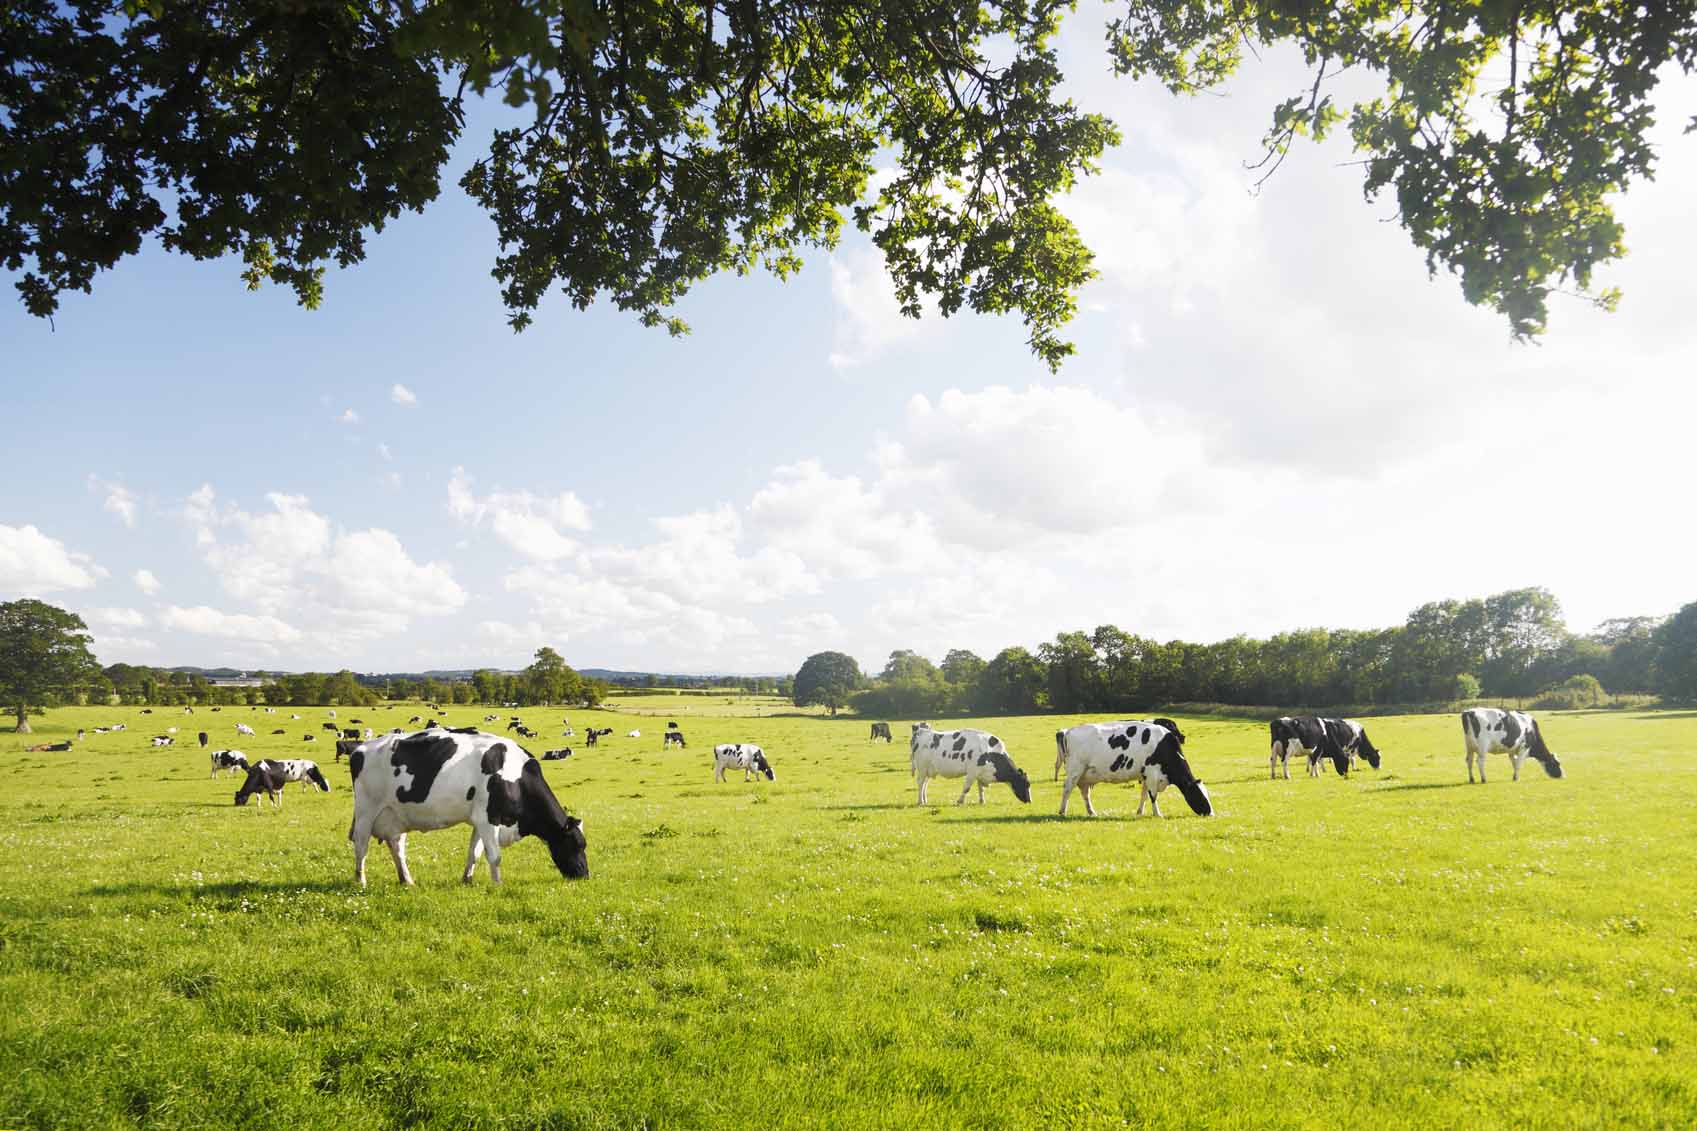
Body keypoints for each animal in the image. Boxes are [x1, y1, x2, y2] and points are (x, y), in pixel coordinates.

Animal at [344, 726, 590, 883]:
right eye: (575, 844)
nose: (584, 875)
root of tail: (360, 749)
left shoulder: (480, 819)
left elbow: (475, 852)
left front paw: (467, 880)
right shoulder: (489, 818)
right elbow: (494, 856)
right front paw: (498, 885)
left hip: (395, 815)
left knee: (396, 847)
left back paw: (407, 881)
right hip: (366, 811)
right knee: (361, 846)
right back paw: (361, 881)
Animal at [1052, 716, 1215, 815]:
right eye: (1200, 795)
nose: (1211, 813)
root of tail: (1068, 731)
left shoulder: (1146, 774)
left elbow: (1144, 795)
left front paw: (1140, 812)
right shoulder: (1152, 774)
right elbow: (1153, 796)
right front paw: (1158, 814)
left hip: (1085, 776)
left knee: (1085, 794)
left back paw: (1092, 812)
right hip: (1075, 771)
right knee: (1067, 789)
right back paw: (1062, 811)